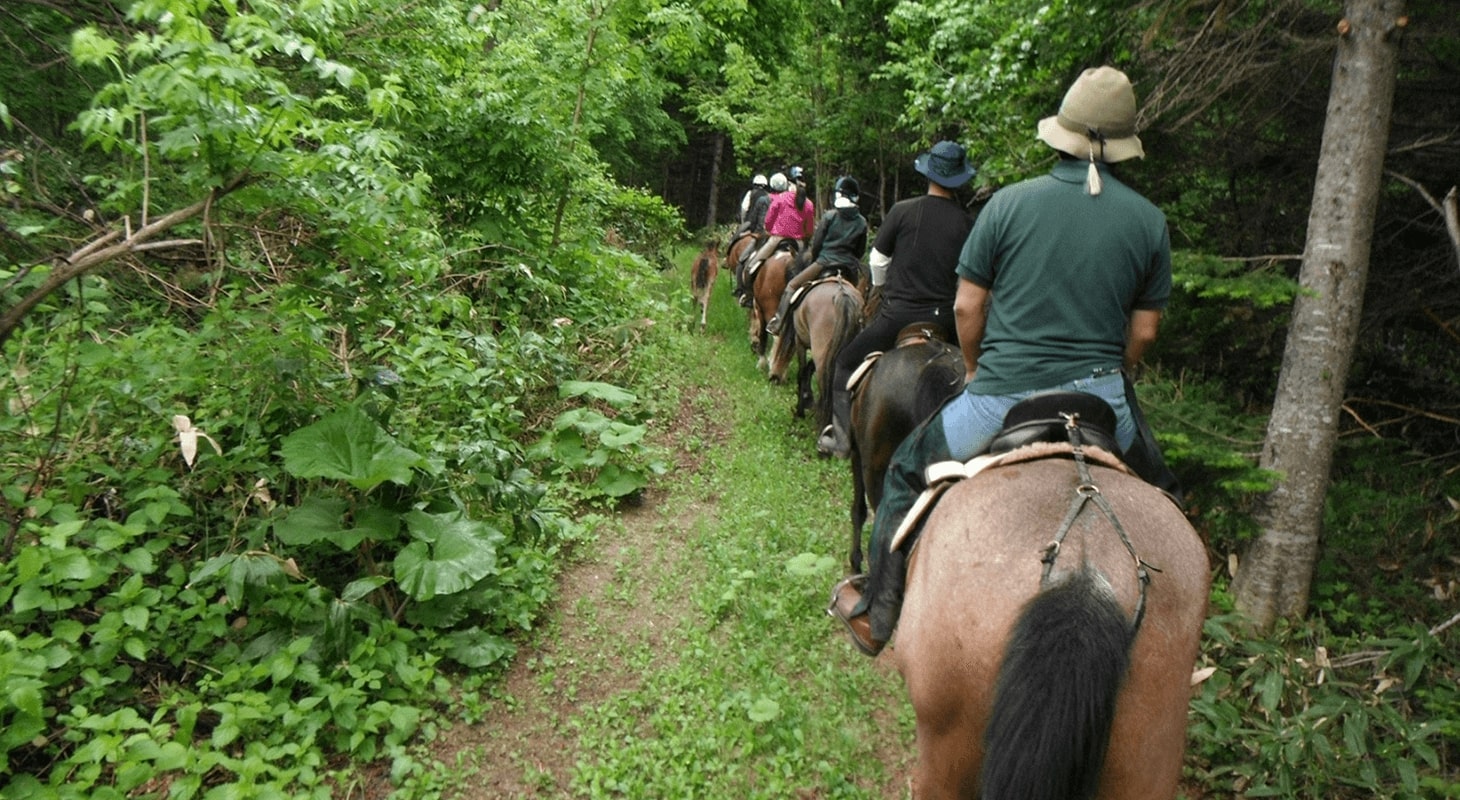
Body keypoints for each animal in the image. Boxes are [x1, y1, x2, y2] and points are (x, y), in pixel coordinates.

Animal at [765, 280, 864, 435]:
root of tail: (842, 294)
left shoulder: (800, 342)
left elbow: (802, 373)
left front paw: (799, 411)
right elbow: (808, 370)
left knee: (825, 386)